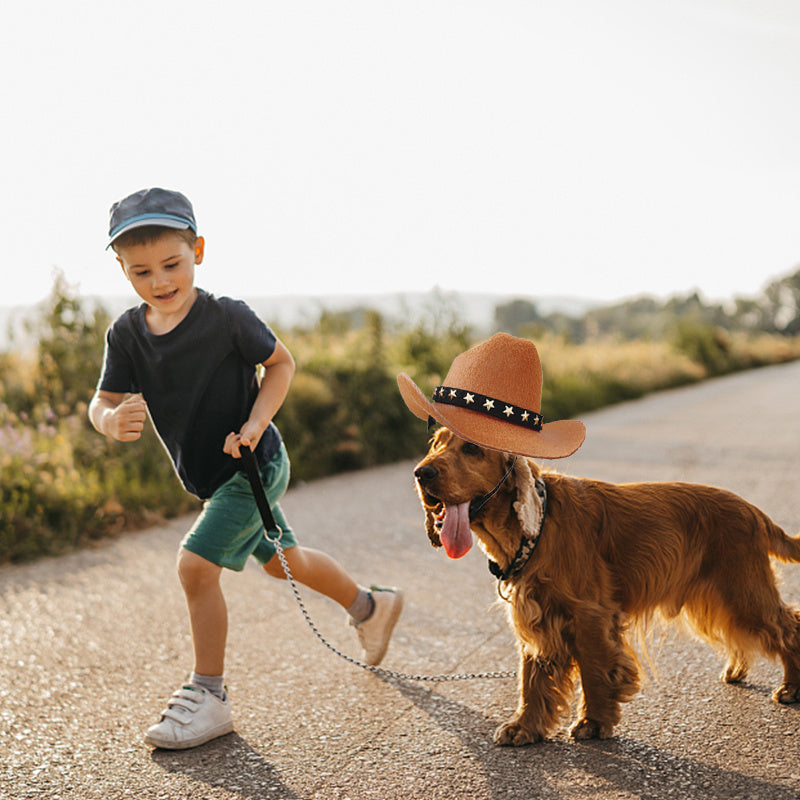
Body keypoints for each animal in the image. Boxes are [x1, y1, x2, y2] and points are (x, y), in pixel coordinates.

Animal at [412, 428, 800, 748]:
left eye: (472, 448)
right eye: (436, 444)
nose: (421, 472)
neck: (538, 528)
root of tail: (754, 512)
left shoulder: (589, 614)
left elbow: (594, 671)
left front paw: (594, 722)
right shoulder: (535, 617)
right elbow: (531, 679)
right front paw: (525, 727)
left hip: (743, 591)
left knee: (788, 627)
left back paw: (791, 686)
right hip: (719, 598)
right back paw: (737, 670)